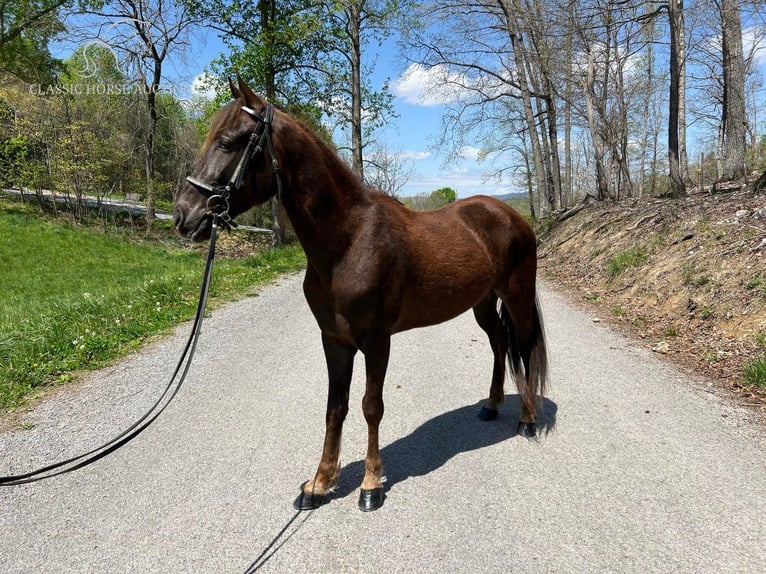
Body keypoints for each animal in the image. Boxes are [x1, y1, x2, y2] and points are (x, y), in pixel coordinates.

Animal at [174, 79, 548, 516]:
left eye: (229, 142)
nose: (184, 216)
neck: (349, 242)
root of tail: (511, 214)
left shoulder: (376, 340)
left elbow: (372, 405)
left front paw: (371, 485)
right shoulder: (335, 341)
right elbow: (335, 408)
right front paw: (319, 484)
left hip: (517, 296)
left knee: (523, 345)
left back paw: (527, 420)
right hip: (483, 303)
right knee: (499, 343)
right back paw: (491, 406)